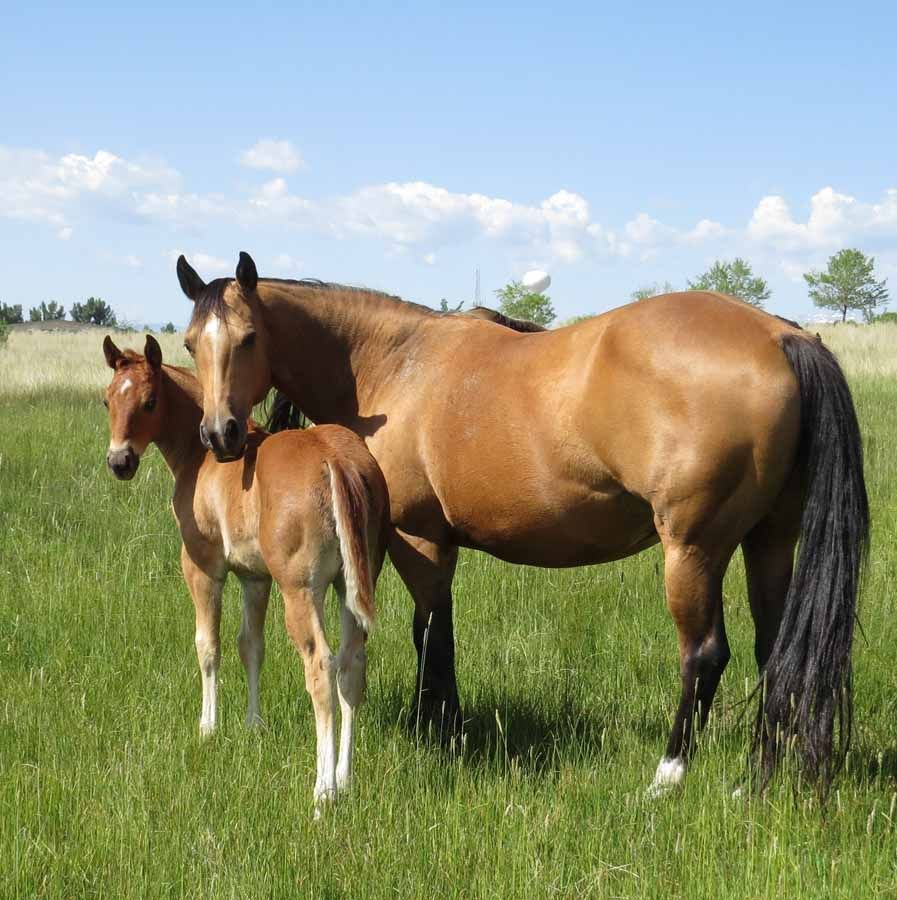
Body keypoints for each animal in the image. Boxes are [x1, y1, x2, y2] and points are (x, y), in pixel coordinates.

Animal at [102, 334, 389, 812]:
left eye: (149, 401)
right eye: (106, 400)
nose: (119, 461)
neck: (200, 456)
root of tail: (337, 461)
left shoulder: (203, 567)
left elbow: (209, 645)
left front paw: (208, 727)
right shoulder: (256, 578)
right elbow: (251, 645)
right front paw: (254, 725)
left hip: (301, 590)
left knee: (321, 667)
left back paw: (323, 791)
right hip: (350, 586)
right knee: (352, 666)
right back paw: (345, 777)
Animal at [175, 251, 868, 794]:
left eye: (248, 338)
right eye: (189, 343)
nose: (218, 434)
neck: (396, 364)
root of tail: (779, 336)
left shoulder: (419, 541)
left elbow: (431, 636)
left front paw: (442, 731)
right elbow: (436, 632)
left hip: (694, 550)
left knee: (704, 654)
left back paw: (668, 775)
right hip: (769, 539)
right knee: (776, 650)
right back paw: (758, 777)